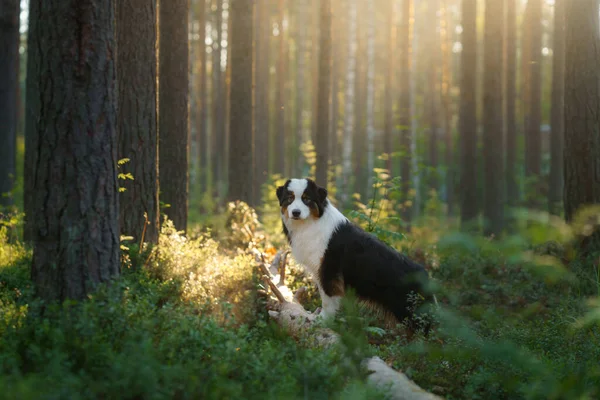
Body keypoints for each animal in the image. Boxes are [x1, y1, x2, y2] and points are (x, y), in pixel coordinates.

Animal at [276, 178, 436, 334]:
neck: (311, 222)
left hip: (409, 311)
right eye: (290, 198)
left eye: (307, 199)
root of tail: (425, 274)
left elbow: (327, 301)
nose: (296, 212)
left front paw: (322, 321)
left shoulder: (329, 272)